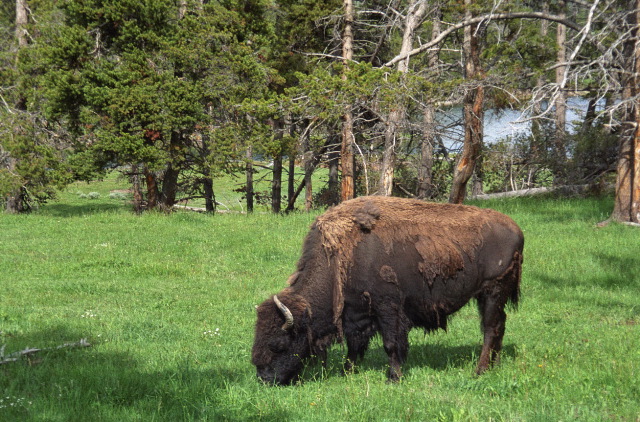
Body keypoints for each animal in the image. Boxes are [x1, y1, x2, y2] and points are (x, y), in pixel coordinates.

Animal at [252, 196, 524, 385]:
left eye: (278, 345)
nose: (265, 380)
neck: (342, 256)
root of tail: (516, 228)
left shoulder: (388, 308)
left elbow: (391, 344)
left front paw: (394, 377)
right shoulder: (356, 312)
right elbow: (354, 345)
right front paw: (347, 371)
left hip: (492, 291)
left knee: (490, 328)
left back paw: (480, 370)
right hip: (490, 297)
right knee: (499, 326)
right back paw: (495, 365)